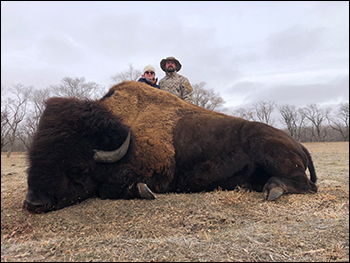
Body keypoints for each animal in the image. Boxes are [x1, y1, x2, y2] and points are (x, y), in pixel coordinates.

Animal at [21, 81, 318, 214]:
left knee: (303, 184)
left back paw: (272, 189)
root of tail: (297, 143)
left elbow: (113, 188)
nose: (34, 202)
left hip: (272, 152)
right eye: (32, 157)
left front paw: (141, 191)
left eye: (77, 168)